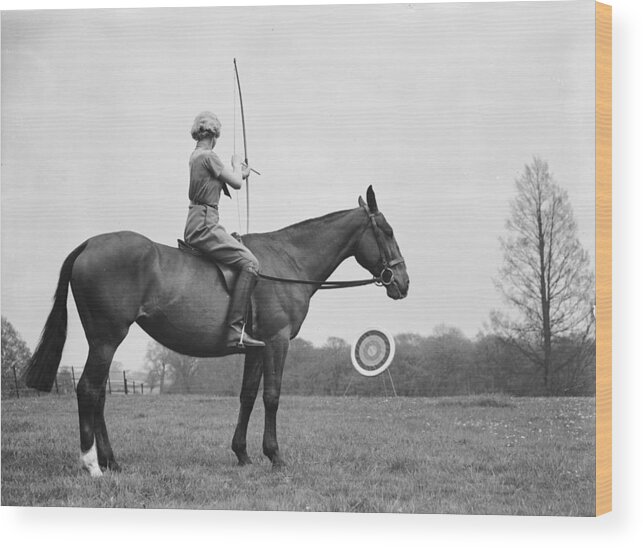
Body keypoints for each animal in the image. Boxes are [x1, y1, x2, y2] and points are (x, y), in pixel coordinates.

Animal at [25, 186, 410, 478]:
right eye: (388, 232)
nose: (403, 283)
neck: (288, 261)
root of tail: (89, 244)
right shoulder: (276, 342)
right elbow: (272, 396)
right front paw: (275, 456)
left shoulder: (256, 348)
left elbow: (248, 396)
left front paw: (243, 454)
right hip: (106, 339)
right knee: (89, 390)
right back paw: (92, 465)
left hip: (103, 342)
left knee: (99, 396)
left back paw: (112, 461)